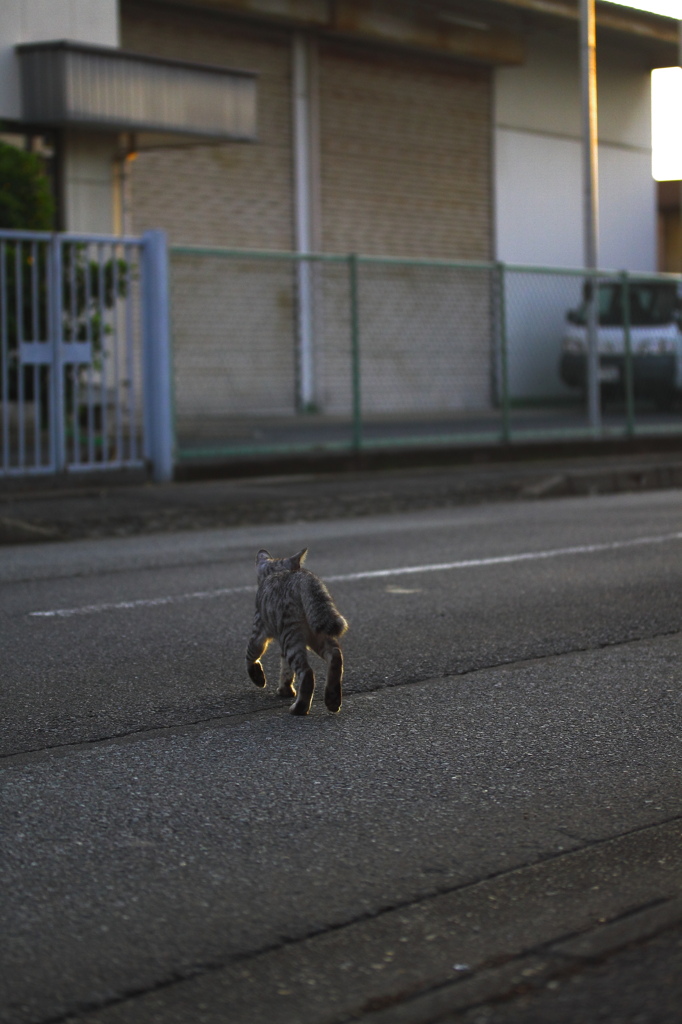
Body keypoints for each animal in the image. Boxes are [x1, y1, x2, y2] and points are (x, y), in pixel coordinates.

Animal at [244, 548, 348, 716]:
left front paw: (257, 677)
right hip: (317, 629)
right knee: (335, 656)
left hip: (291, 635)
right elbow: (286, 669)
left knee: (307, 673)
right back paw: (332, 699)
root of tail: (302, 578)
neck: (278, 571)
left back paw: (300, 708)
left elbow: (251, 654)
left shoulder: (258, 629)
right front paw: (285, 689)